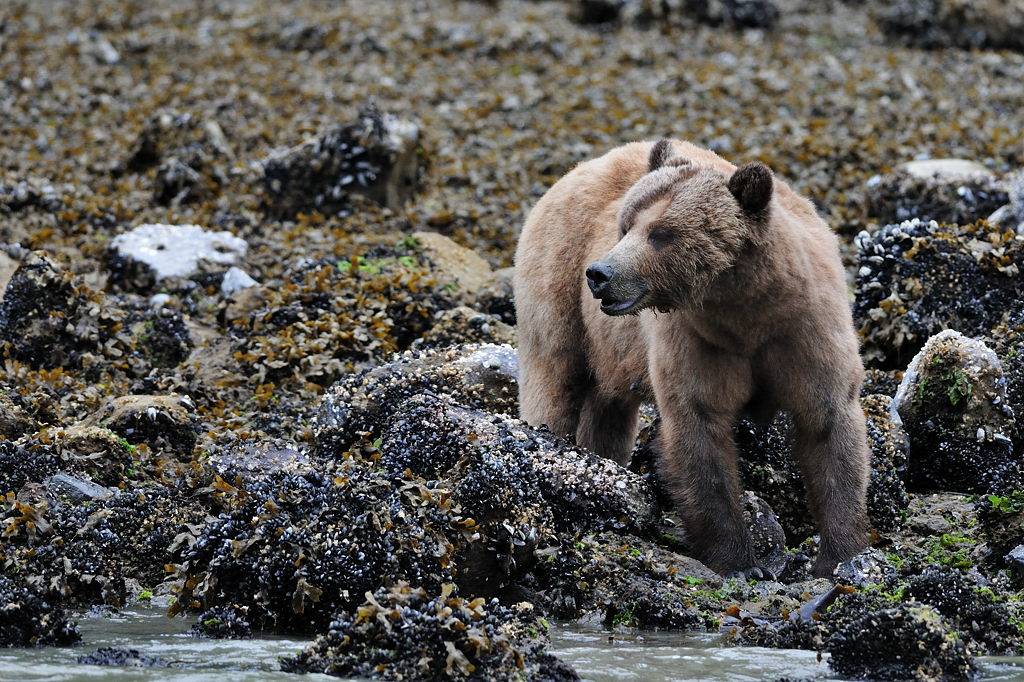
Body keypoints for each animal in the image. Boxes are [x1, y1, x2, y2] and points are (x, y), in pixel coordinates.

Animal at [516, 139, 868, 577]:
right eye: (625, 225)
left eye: (662, 233)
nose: (600, 273)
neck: (744, 311)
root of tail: (586, 166)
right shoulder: (697, 341)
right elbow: (699, 429)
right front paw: (739, 562)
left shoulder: (804, 332)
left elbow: (829, 426)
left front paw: (842, 556)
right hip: (559, 284)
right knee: (554, 376)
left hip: (610, 347)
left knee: (608, 404)